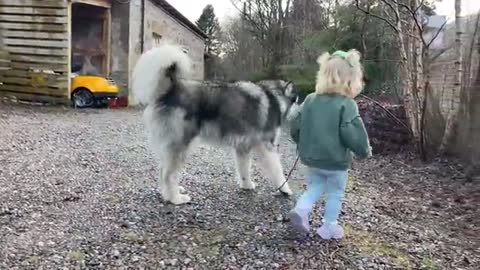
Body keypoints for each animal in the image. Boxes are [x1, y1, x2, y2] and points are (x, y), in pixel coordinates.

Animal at [133, 44, 298, 205]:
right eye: (297, 99)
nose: (300, 110)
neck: (276, 96)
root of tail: (173, 88)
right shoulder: (267, 146)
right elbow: (277, 170)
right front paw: (285, 189)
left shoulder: (242, 147)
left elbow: (244, 169)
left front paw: (246, 185)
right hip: (181, 144)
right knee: (168, 174)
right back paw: (175, 199)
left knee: (163, 170)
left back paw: (170, 193)